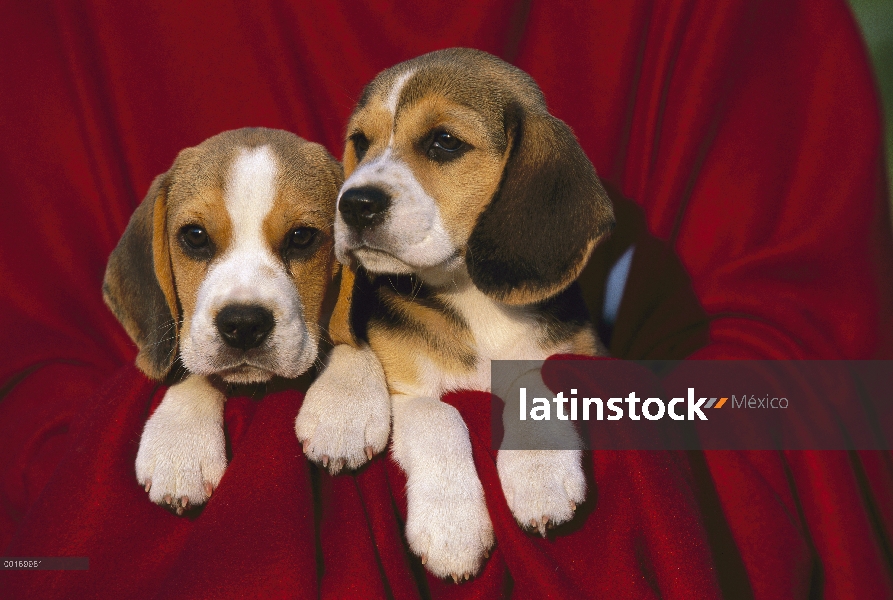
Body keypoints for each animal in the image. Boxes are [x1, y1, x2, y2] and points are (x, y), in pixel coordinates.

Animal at [103, 129, 342, 512]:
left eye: (301, 237)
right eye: (195, 236)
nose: (244, 325)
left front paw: (344, 399)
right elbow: (195, 367)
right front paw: (180, 442)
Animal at [292, 49, 612, 584]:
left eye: (444, 142)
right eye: (360, 142)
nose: (353, 204)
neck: (471, 294)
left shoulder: (583, 353)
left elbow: (530, 377)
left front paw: (539, 473)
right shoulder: (411, 392)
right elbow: (441, 417)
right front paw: (451, 531)